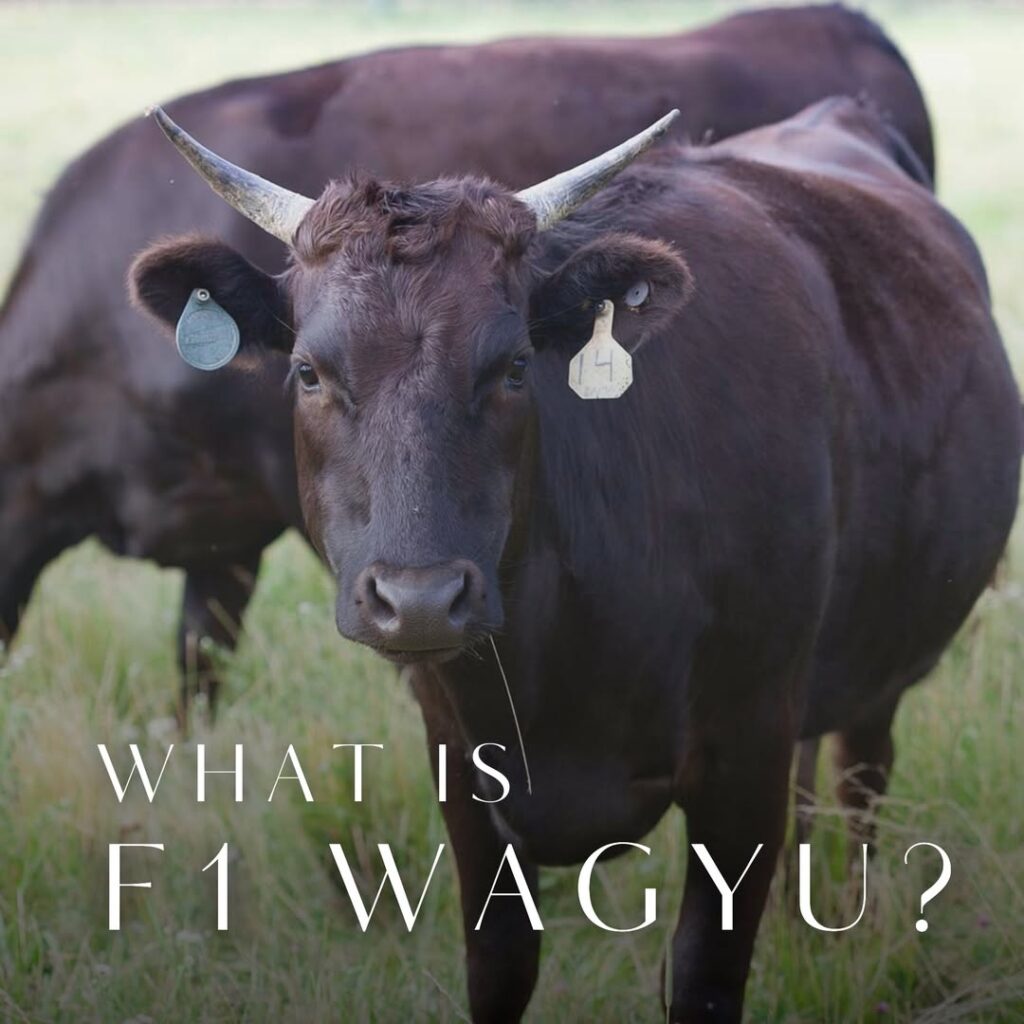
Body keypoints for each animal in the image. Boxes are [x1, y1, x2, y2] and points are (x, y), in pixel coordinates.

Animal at [127, 90, 1019, 1020]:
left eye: (516, 364)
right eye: (307, 371)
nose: (418, 600)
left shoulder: (743, 750)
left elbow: (701, 974)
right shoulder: (461, 767)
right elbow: (499, 965)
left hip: (881, 659)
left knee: (860, 779)